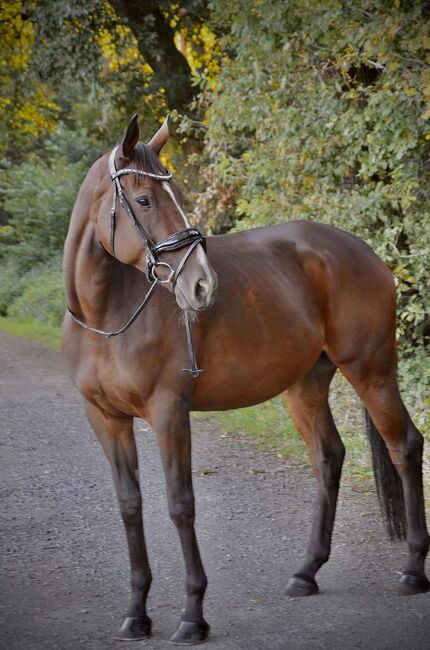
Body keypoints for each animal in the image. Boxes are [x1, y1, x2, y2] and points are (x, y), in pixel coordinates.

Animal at [62, 114, 428, 640]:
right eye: (145, 199)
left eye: (176, 194)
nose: (201, 284)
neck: (108, 315)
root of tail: (364, 250)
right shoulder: (106, 420)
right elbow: (130, 506)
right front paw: (136, 614)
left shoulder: (169, 412)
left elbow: (180, 504)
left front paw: (192, 616)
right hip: (306, 384)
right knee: (328, 457)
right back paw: (306, 572)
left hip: (371, 370)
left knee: (405, 447)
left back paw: (414, 569)